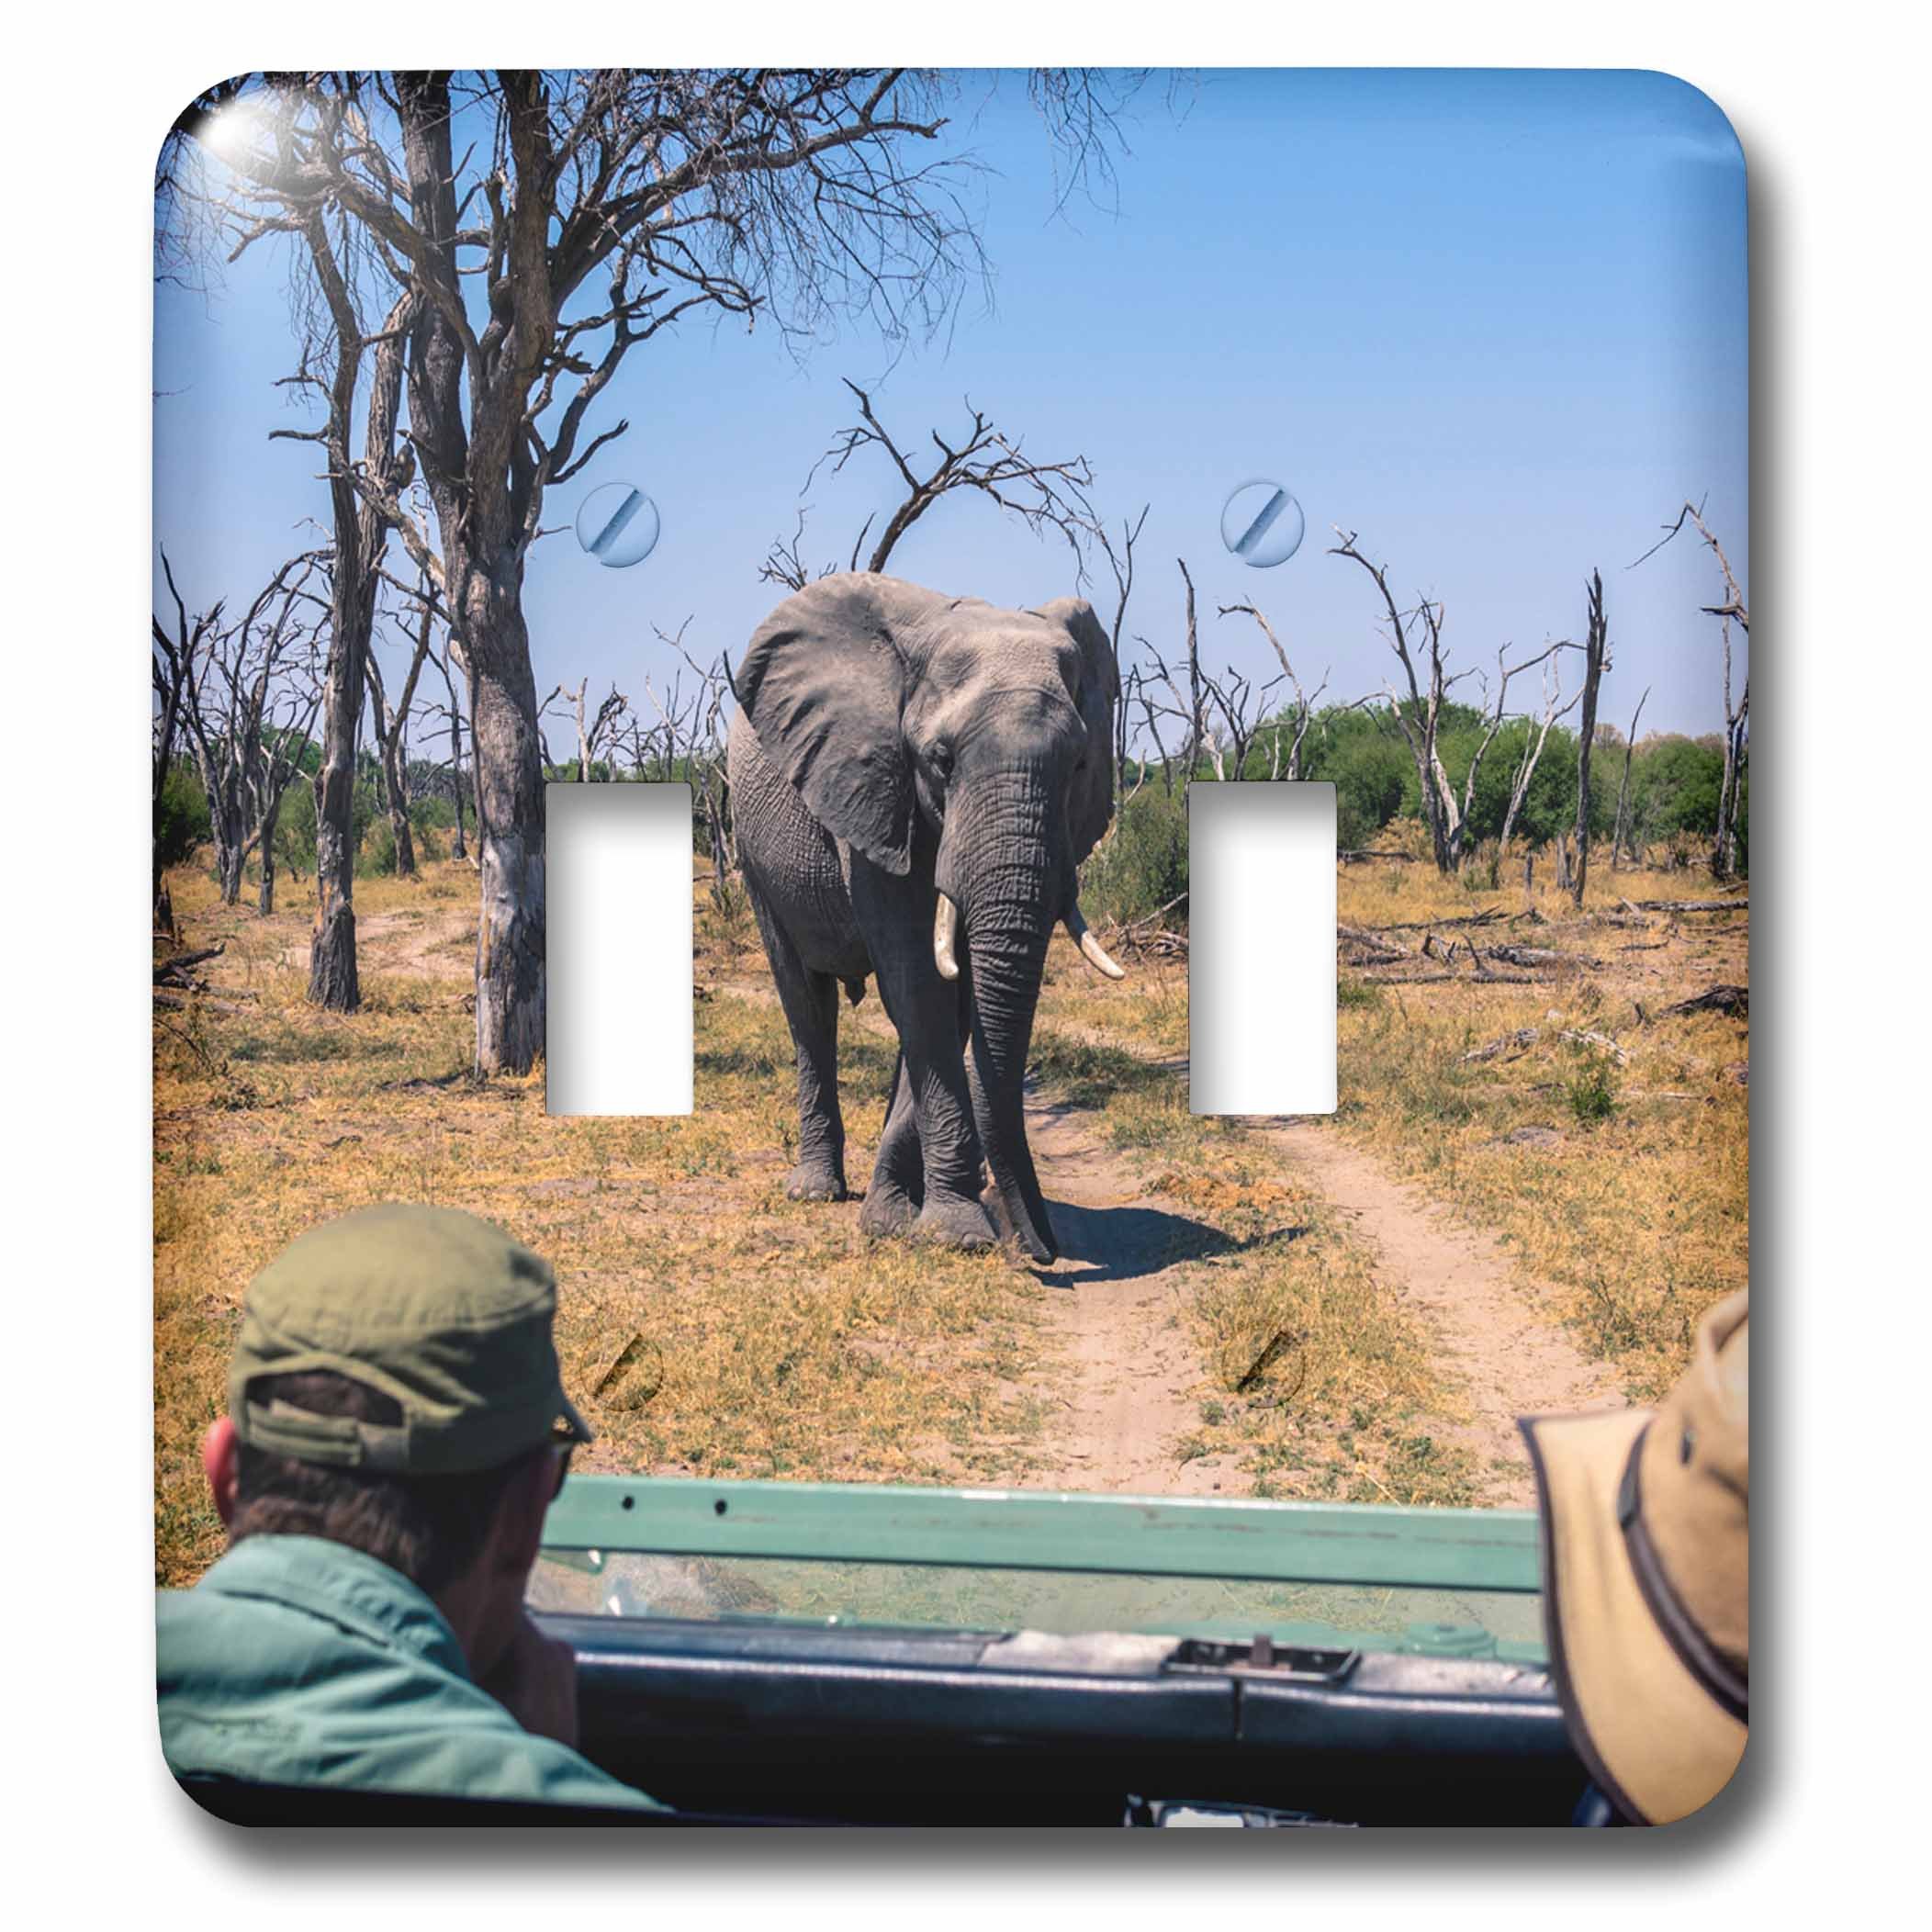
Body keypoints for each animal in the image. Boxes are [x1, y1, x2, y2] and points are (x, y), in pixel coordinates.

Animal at [726, 572, 1125, 1265]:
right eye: (941, 761)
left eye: (1079, 765)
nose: (1042, 1248)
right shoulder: (872, 786)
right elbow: (919, 980)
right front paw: (952, 1233)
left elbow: (951, 999)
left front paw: (900, 1220)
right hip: (751, 849)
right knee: (806, 1004)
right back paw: (814, 1191)